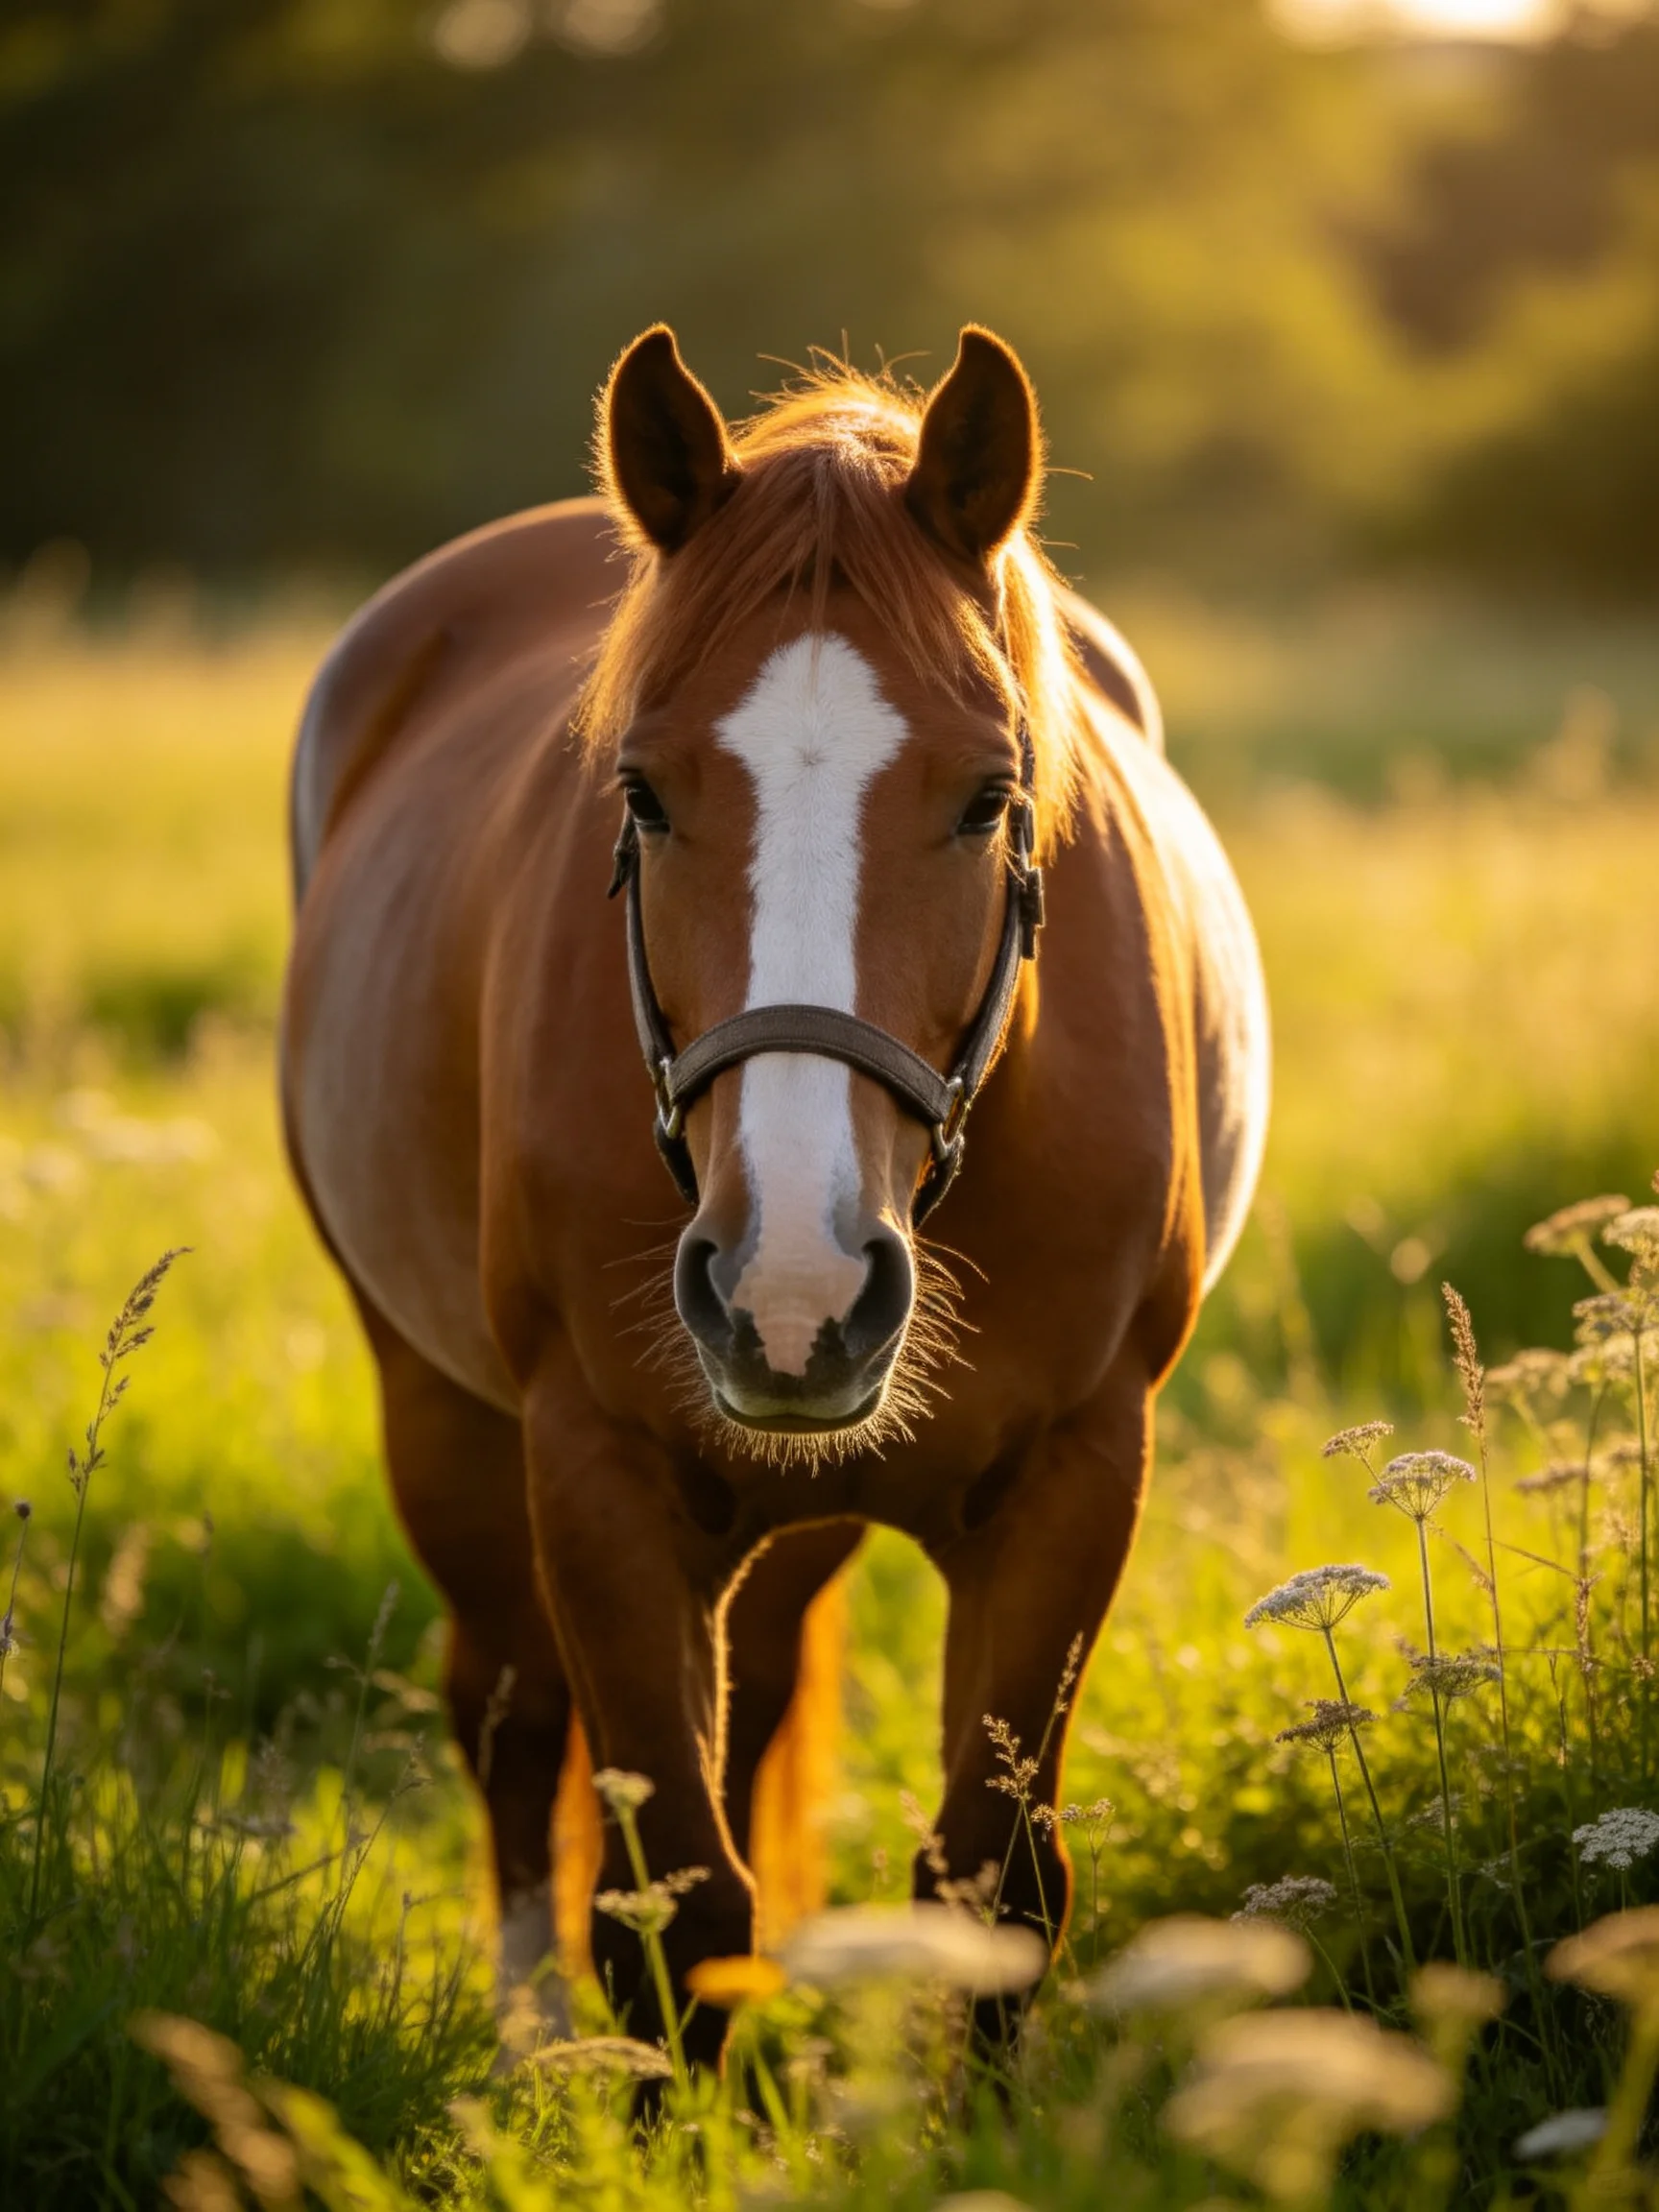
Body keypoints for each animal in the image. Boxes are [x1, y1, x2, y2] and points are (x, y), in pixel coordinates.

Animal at [281, 323, 1269, 2063]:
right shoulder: (595, 1470)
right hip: (437, 1407)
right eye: (643, 792)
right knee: (509, 1717)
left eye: (987, 793)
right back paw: (530, 2037)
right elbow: (672, 1899)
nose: (791, 1289)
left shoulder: (1080, 1470)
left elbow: (990, 1888)